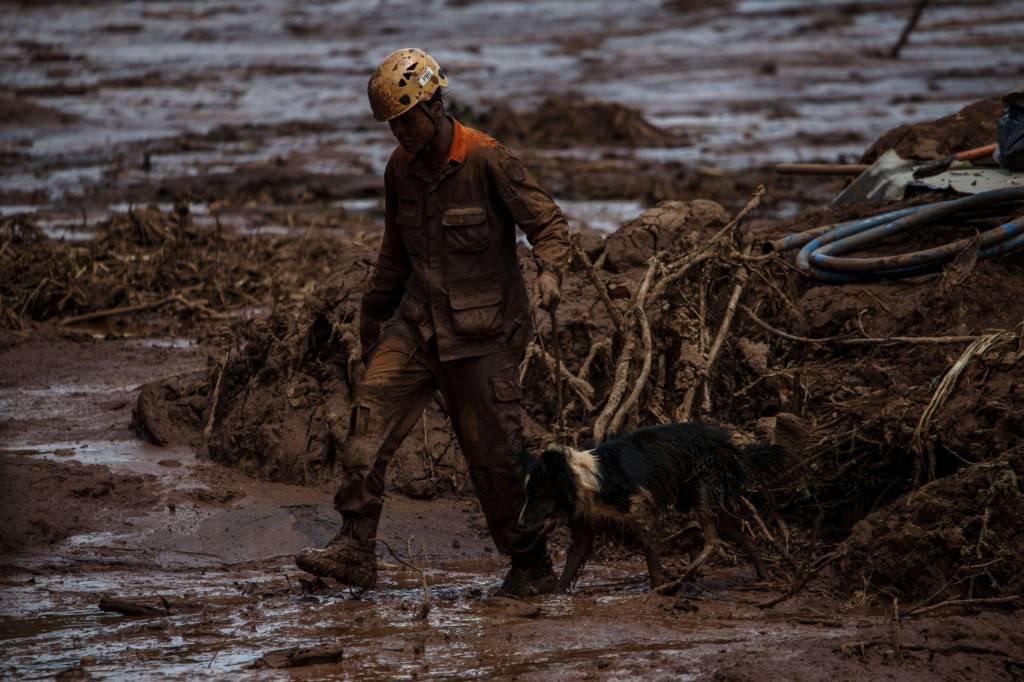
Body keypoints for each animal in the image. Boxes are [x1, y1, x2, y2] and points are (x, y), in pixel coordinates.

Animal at [516, 419, 778, 589]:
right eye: (527, 493)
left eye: (538, 494)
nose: (519, 524)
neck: (582, 481)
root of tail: (734, 448)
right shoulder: (585, 524)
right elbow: (570, 567)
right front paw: (554, 599)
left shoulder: (641, 514)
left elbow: (652, 560)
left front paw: (656, 590)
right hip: (714, 504)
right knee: (746, 538)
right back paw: (764, 579)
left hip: (703, 489)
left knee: (714, 541)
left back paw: (682, 580)